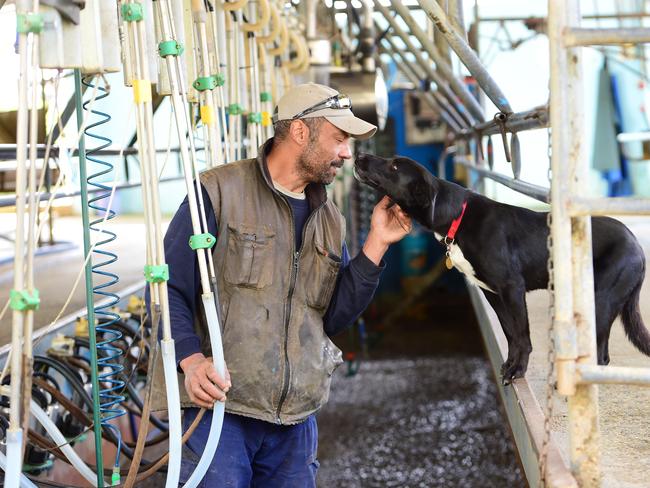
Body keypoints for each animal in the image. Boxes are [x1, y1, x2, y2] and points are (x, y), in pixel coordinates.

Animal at [354, 154, 648, 384]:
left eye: (394, 166)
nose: (359, 157)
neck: (457, 218)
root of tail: (636, 244)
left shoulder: (512, 288)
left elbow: (523, 335)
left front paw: (518, 371)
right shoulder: (493, 293)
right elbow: (511, 334)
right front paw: (509, 365)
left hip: (601, 300)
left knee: (599, 353)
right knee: (603, 354)